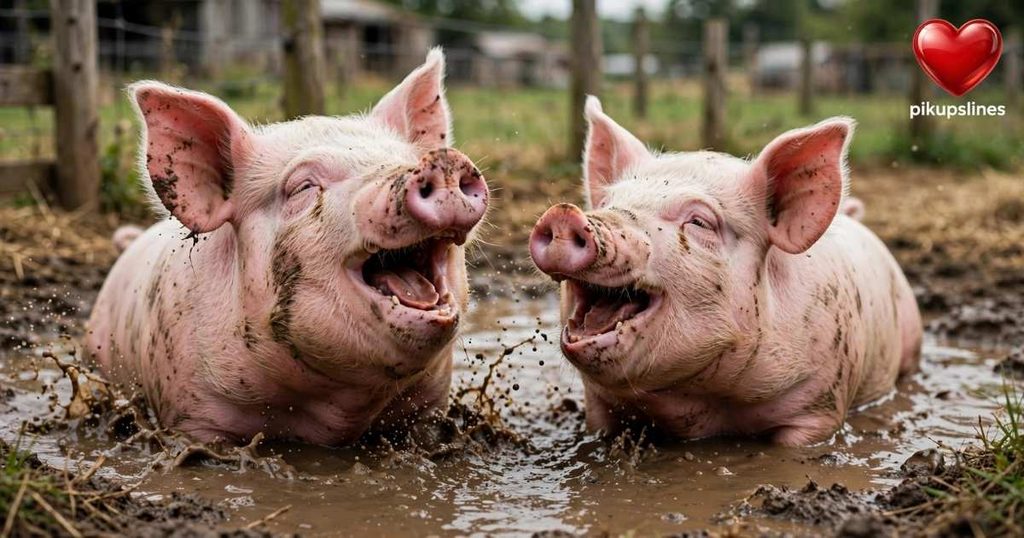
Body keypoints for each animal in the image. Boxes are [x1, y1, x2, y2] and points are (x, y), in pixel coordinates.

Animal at [86, 49, 489, 445]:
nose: (442, 161)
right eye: (303, 187)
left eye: (405, 160)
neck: (337, 415)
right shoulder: (194, 412)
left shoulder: (428, 405)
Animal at [529, 97, 921, 446]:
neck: (701, 403)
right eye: (609, 203)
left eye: (699, 221)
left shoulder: (820, 403)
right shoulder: (598, 404)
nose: (563, 214)